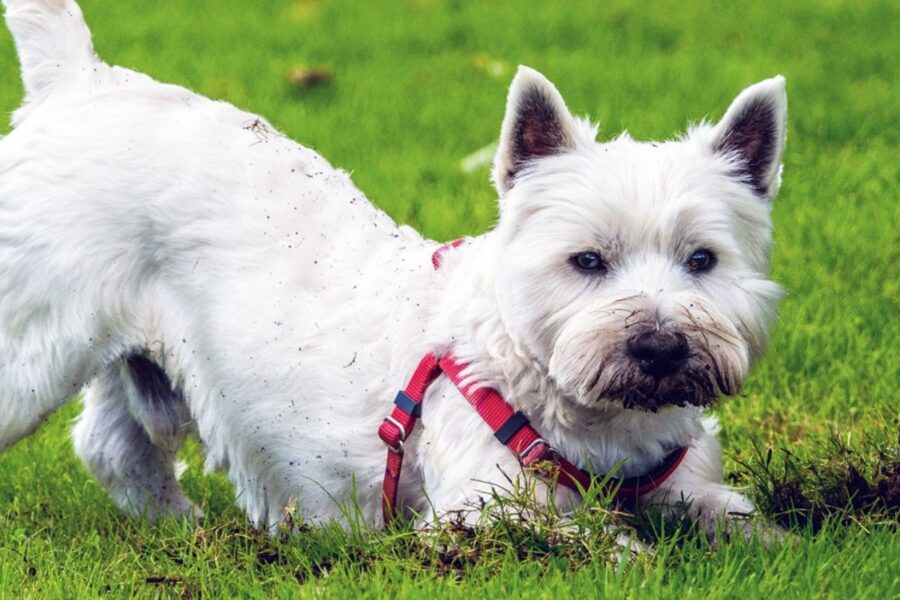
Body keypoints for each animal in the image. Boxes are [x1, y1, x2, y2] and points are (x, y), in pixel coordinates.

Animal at [0, 0, 784, 536]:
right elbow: (589, 540)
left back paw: (183, 526)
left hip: (133, 350)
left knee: (113, 445)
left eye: (703, 259)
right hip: (34, 340)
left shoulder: (686, 483)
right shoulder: (482, 508)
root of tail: (78, 79)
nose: (659, 347)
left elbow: (739, 519)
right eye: (587, 260)